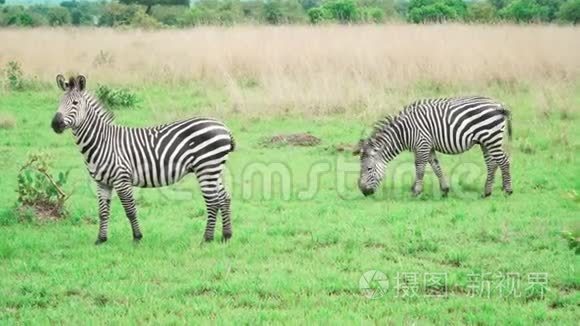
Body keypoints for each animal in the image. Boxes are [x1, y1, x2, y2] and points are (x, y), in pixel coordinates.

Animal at [50, 75, 236, 244]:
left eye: (75, 103)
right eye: (59, 102)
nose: (55, 124)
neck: (103, 141)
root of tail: (223, 126)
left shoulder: (121, 180)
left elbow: (130, 210)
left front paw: (137, 237)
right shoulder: (102, 183)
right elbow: (103, 212)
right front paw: (101, 240)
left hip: (207, 168)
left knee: (213, 202)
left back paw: (207, 239)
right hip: (213, 169)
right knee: (224, 198)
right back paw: (226, 236)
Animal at [354, 95, 512, 197]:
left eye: (368, 169)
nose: (363, 192)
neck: (404, 132)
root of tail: (499, 105)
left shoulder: (422, 144)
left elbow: (420, 168)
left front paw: (416, 191)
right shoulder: (428, 147)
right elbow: (436, 167)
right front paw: (445, 189)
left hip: (491, 138)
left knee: (504, 161)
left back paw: (508, 190)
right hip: (486, 141)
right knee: (492, 163)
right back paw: (487, 192)